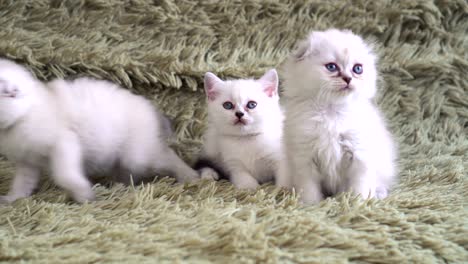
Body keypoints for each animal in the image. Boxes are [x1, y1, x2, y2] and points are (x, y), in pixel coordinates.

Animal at [0, 59, 199, 204]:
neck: (24, 113)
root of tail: (152, 110)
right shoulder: (27, 163)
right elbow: (22, 183)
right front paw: (13, 198)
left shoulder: (64, 143)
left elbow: (65, 175)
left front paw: (82, 193)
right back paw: (119, 185)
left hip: (139, 156)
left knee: (168, 157)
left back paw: (189, 176)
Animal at [278, 28, 398, 204]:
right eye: (331, 67)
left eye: (357, 69)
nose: (348, 79)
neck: (331, 111)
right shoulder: (304, 158)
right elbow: (309, 188)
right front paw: (310, 205)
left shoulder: (359, 155)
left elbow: (358, 186)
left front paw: (357, 203)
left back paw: (378, 194)